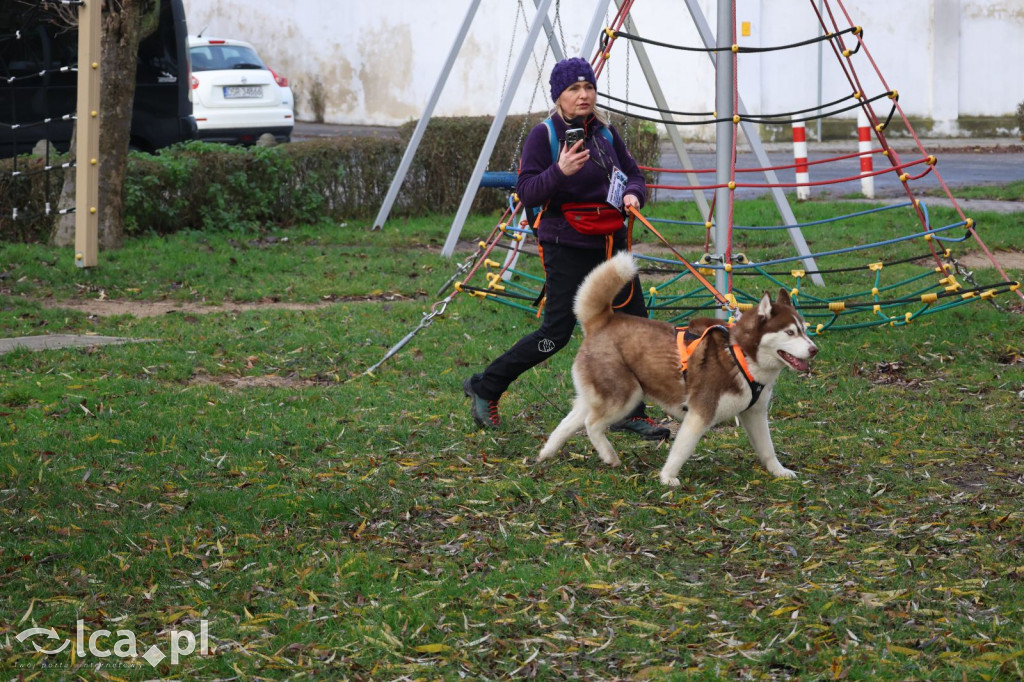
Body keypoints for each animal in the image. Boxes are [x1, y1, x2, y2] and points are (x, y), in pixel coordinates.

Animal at [536, 250, 815, 483]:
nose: (814, 350)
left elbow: (768, 449)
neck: (741, 356)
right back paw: (609, 456)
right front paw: (668, 478)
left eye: (804, 329)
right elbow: (682, 450)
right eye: (790, 332)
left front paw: (779, 471)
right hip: (626, 396)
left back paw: (546, 453)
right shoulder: (700, 412)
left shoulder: (755, 413)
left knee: (569, 422)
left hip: (599, 395)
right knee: (591, 424)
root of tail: (602, 320)